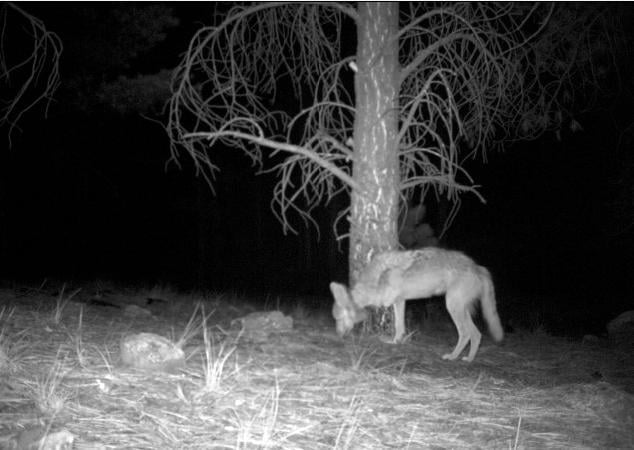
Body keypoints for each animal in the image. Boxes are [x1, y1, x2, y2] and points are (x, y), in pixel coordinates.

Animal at [330, 248, 504, 360]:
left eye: (339, 319)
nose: (338, 336)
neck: (377, 277)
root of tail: (478, 267)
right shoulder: (399, 301)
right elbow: (399, 327)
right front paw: (395, 342)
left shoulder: (387, 300)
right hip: (460, 309)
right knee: (477, 334)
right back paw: (469, 359)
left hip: (452, 307)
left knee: (465, 333)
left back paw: (453, 356)